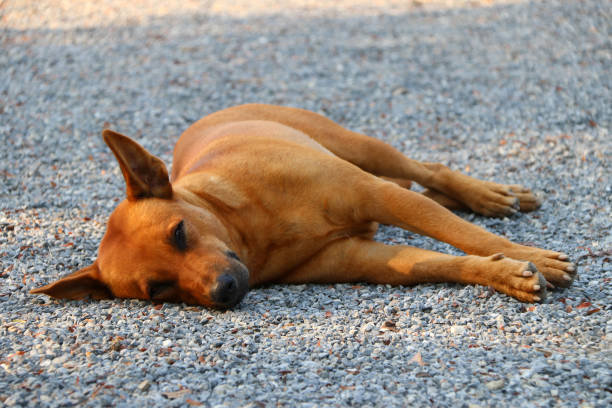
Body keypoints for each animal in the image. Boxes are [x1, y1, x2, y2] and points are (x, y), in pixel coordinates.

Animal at [29, 103, 572, 308]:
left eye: (179, 232)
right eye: (158, 289)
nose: (225, 291)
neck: (249, 228)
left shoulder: (372, 194)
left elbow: (465, 235)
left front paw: (534, 258)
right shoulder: (366, 259)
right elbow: (443, 262)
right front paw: (504, 273)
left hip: (360, 148)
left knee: (426, 172)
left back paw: (485, 195)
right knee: (422, 187)